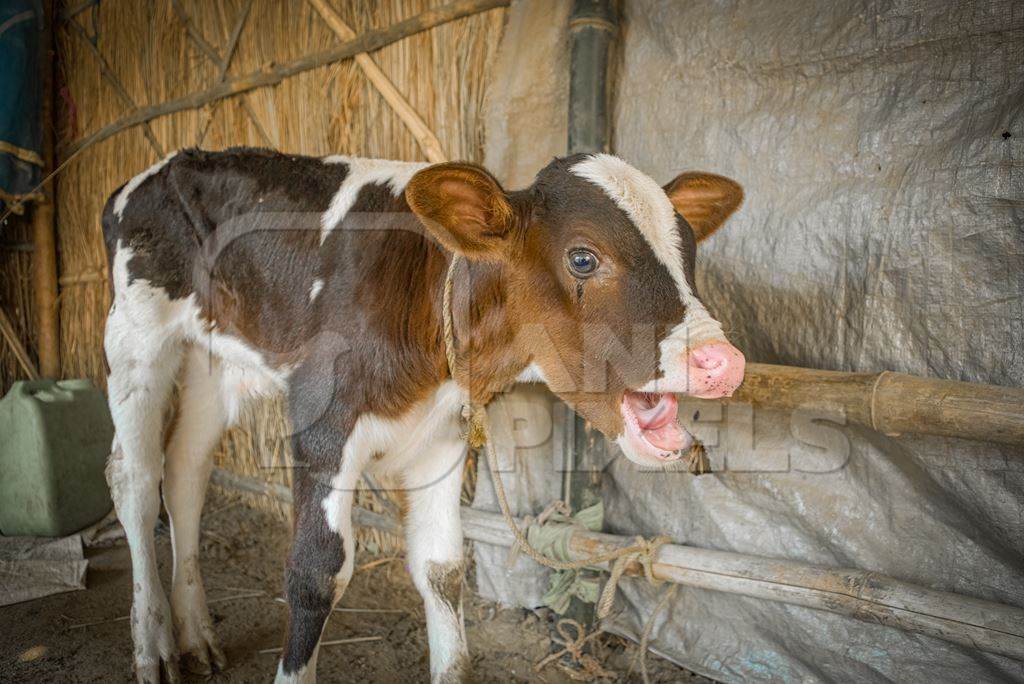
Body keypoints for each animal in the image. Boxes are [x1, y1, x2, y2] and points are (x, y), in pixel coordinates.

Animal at [101, 147, 745, 679]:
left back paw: (197, 637)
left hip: (210, 362)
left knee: (185, 470)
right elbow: (315, 573)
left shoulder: (442, 441)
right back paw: (153, 648)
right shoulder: (322, 428)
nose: (723, 360)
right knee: (135, 477)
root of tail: (155, 170)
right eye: (584, 259)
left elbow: (443, 569)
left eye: (688, 254)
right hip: (136, 335)